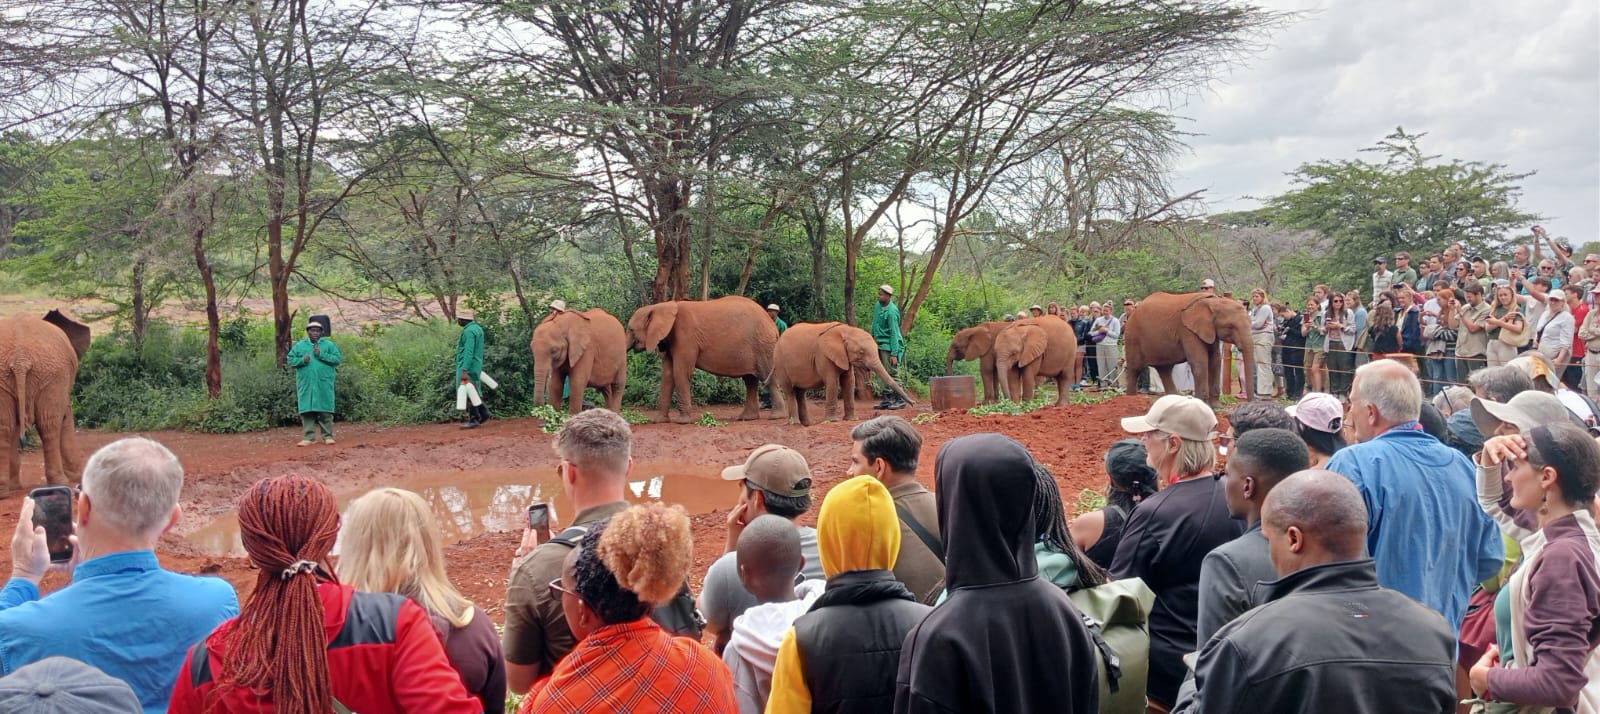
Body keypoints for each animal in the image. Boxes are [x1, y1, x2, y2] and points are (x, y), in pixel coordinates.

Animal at [1, 310, 92, 497]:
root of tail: (20, 358)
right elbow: (65, 416)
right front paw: (76, 476)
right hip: (52, 375)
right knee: (49, 425)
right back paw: (60, 483)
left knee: (4, 427)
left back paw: (4, 492)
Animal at [627, 296, 783, 423]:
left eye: (631, 330)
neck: (662, 306)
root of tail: (773, 325)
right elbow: (667, 375)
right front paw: (658, 421)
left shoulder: (686, 337)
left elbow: (680, 372)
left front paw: (683, 422)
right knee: (750, 381)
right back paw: (747, 418)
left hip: (763, 345)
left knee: (767, 377)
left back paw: (776, 417)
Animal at [773, 322, 914, 426]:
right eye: (861, 352)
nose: (913, 403)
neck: (846, 330)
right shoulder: (824, 355)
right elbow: (832, 381)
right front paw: (831, 421)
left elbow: (849, 381)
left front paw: (852, 420)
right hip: (780, 363)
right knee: (789, 391)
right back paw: (795, 424)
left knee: (800, 392)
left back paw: (807, 424)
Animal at [1122, 292, 1256, 406]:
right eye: (1230, 326)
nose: (1250, 404)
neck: (1214, 301)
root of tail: (1131, 314)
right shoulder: (1188, 330)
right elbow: (1200, 362)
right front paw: (1204, 405)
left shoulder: (1209, 331)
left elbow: (1215, 361)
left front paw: (1216, 407)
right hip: (1132, 337)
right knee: (1134, 369)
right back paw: (1130, 400)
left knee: (1164, 369)